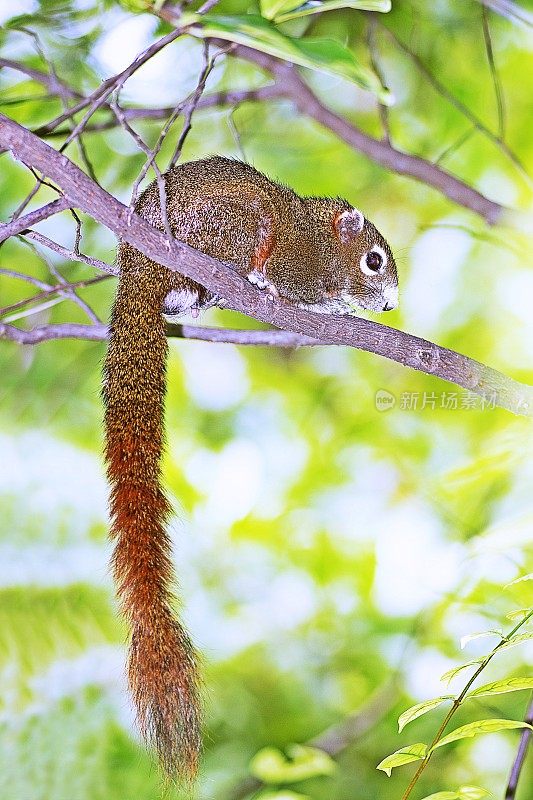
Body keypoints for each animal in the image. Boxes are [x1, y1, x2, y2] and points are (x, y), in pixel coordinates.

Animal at [102, 156, 396, 780]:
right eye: (374, 261)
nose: (388, 307)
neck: (320, 238)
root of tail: (137, 263)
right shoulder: (297, 257)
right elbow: (300, 285)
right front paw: (333, 305)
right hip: (229, 228)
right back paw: (247, 280)